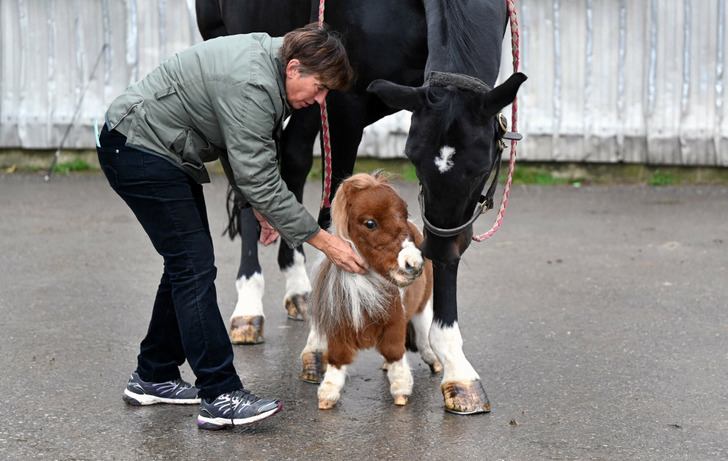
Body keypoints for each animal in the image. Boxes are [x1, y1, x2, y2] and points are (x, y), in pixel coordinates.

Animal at [298, 171, 440, 408]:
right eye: (370, 223)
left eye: (404, 213)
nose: (413, 264)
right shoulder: (338, 328)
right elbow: (337, 359)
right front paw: (328, 395)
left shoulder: (394, 323)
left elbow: (395, 352)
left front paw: (401, 391)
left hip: (423, 302)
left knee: (422, 328)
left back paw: (433, 360)